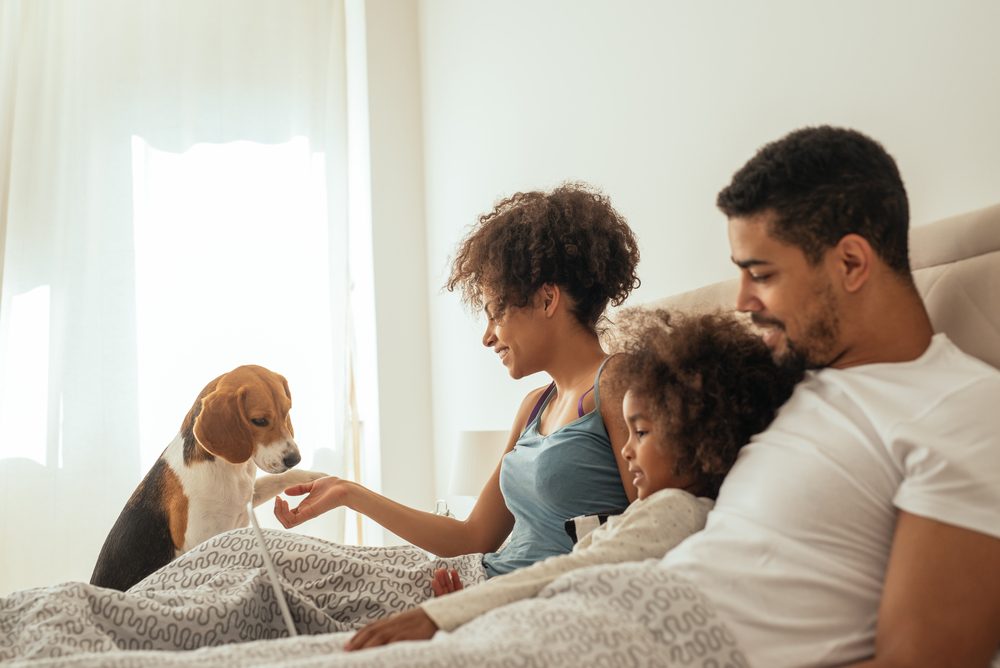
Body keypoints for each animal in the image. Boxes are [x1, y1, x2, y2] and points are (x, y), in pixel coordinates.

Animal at [90, 366, 324, 588]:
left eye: (287, 411)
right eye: (259, 421)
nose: (294, 458)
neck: (231, 468)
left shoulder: (246, 498)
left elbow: (279, 479)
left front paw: (317, 477)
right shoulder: (200, 539)